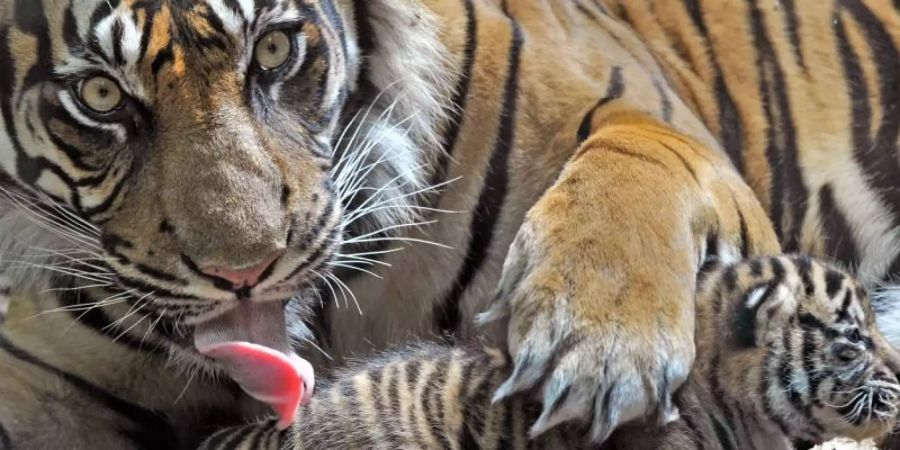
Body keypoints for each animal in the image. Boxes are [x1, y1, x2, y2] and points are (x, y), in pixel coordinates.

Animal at [0, 0, 896, 448]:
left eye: (276, 51)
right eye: (100, 96)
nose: (246, 271)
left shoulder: (644, 112)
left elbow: (631, 161)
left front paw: (599, 349)